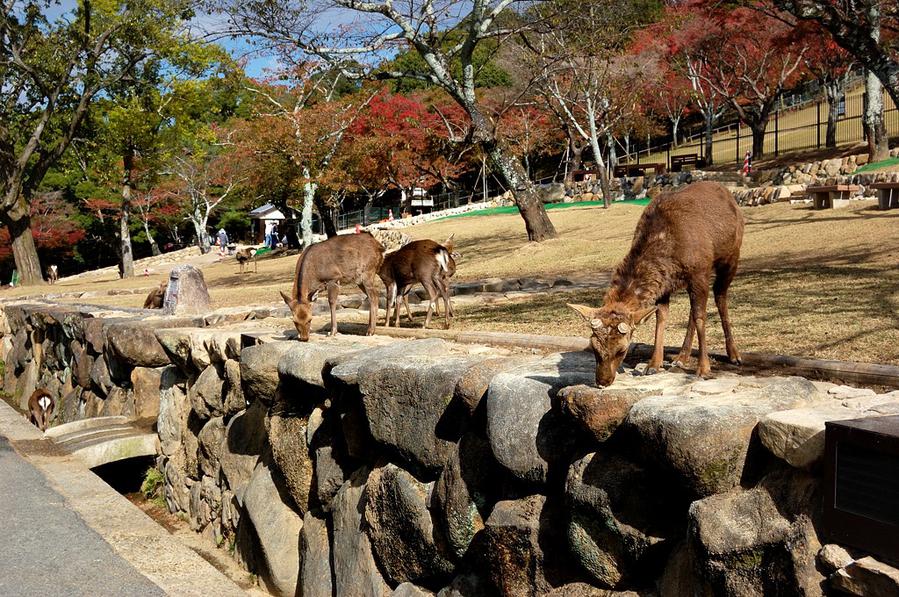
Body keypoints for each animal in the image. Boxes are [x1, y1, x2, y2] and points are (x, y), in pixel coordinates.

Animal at [568, 182, 744, 384]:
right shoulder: (665, 285)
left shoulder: (700, 272)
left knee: (720, 296)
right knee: (693, 310)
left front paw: (704, 369)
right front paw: (653, 365)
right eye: (593, 346)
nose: (603, 381)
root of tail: (728, 194)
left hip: (731, 257)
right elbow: (661, 317)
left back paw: (734, 355)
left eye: (622, 350)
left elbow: (701, 317)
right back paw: (681, 357)